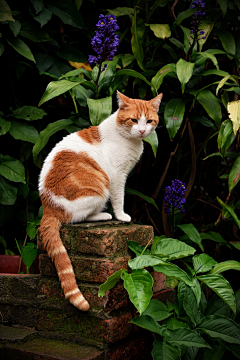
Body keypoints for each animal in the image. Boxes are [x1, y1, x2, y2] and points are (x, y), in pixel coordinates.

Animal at [38, 91, 162, 310]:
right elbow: (119, 198)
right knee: (77, 218)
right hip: (100, 189)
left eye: (149, 121)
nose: (141, 130)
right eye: (133, 120)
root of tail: (49, 206)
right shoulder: (118, 176)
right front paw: (121, 216)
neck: (127, 137)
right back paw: (104, 215)